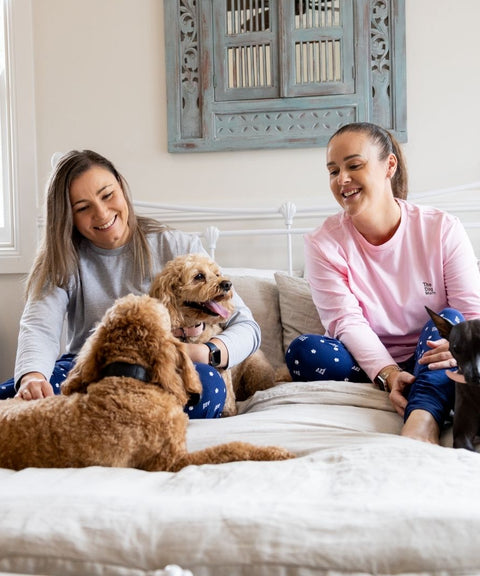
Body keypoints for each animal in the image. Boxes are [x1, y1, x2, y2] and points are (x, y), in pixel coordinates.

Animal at [149, 254, 278, 416]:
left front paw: (229, 412)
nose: (227, 284)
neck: (189, 330)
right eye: (199, 276)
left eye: (217, 274)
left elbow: (227, 397)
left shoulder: (223, 370)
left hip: (256, 369)